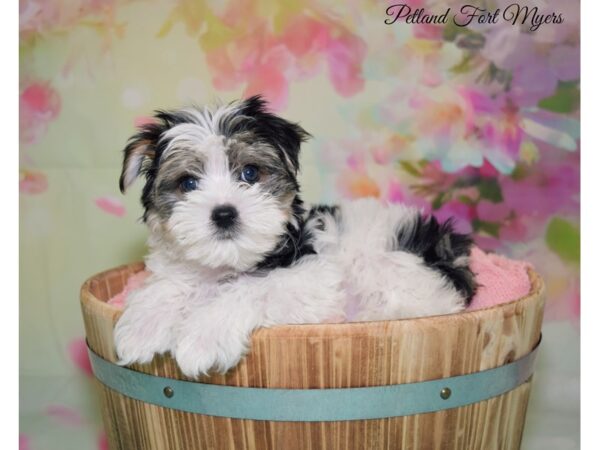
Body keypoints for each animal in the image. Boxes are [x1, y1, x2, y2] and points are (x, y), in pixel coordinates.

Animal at [115, 96, 476, 376]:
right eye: (188, 183)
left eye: (250, 173)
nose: (224, 213)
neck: (227, 264)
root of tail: (447, 249)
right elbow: (167, 286)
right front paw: (141, 327)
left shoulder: (313, 278)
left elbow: (251, 288)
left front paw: (204, 337)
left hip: (396, 268)